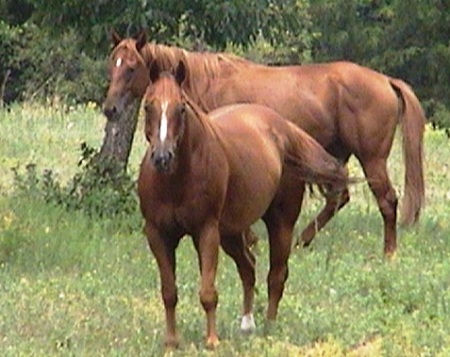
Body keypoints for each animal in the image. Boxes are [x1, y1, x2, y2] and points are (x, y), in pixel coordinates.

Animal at [104, 30, 426, 254]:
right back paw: (300, 242)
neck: (206, 84)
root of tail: (386, 80)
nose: (110, 109)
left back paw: (388, 253)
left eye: (131, 67)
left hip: (372, 160)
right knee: (339, 198)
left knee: (387, 201)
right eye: (113, 65)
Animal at [138, 61, 348, 348]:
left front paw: (212, 340)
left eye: (181, 107)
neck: (175, 182)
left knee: (276, 275)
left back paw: (269, 326)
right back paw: (247, 324)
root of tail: (284, 128)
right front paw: (171, 342)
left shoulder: (206, 232)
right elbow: (169, 291)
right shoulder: (158, 234)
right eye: (148, 106)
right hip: (231, 233)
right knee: (248, 268)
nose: (162, 157)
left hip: (280, 223)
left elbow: (208, 292)